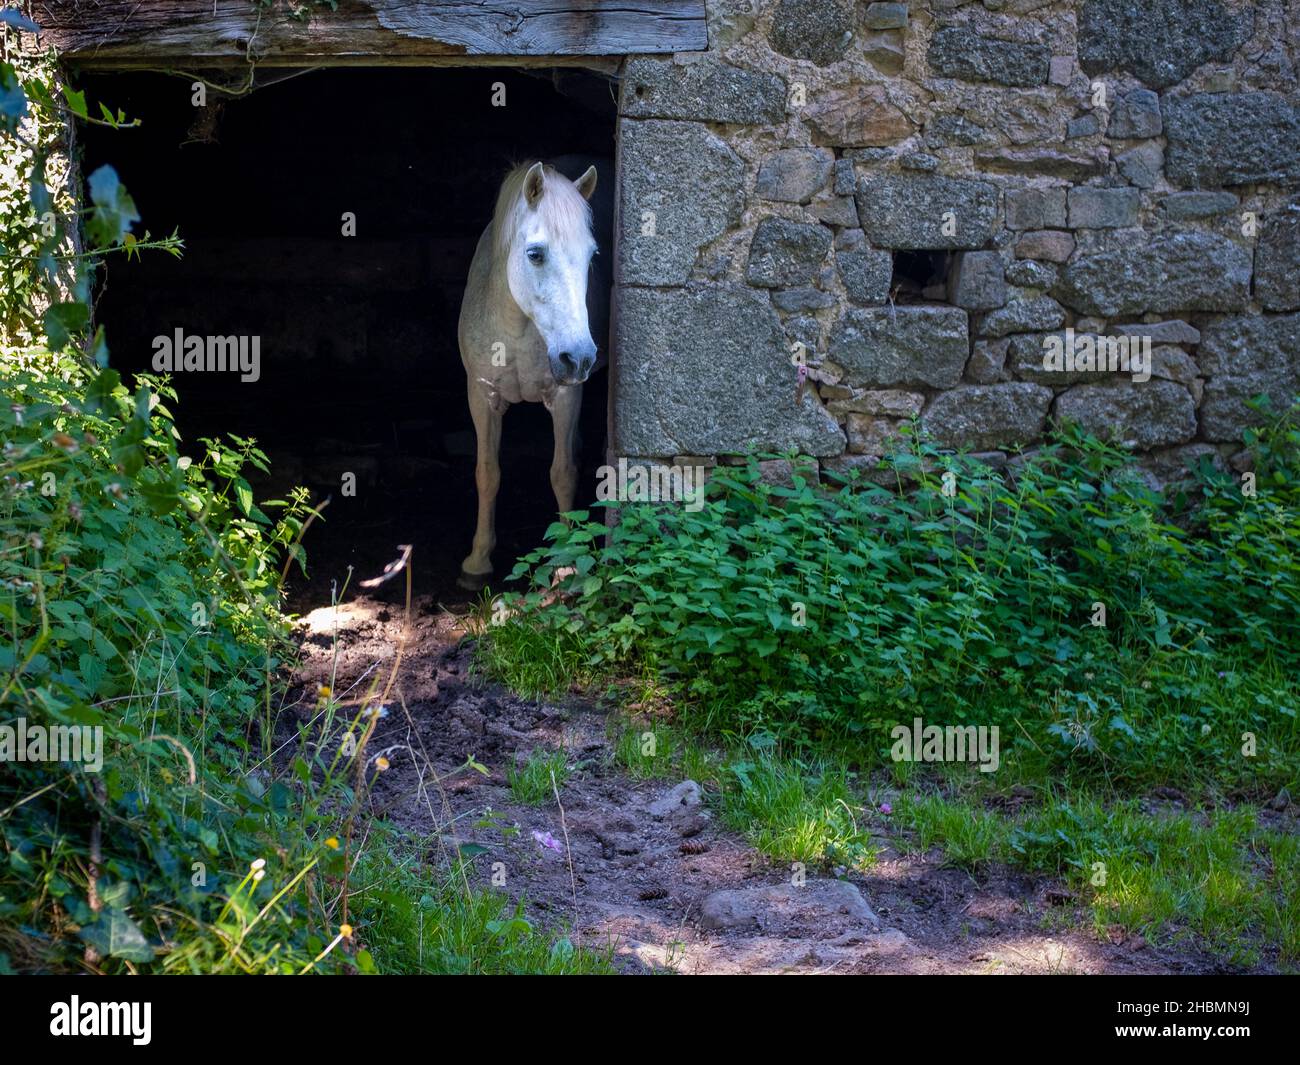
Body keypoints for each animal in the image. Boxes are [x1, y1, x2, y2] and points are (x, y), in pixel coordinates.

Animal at [456, 160, 607, 590]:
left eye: (591, 255)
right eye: (535, 254)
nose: (580, 357)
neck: (519, 330)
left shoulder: (566, 396)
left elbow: (562, 473)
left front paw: (568, 560)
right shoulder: (482, 397)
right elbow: (487, 472)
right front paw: (477, 562)